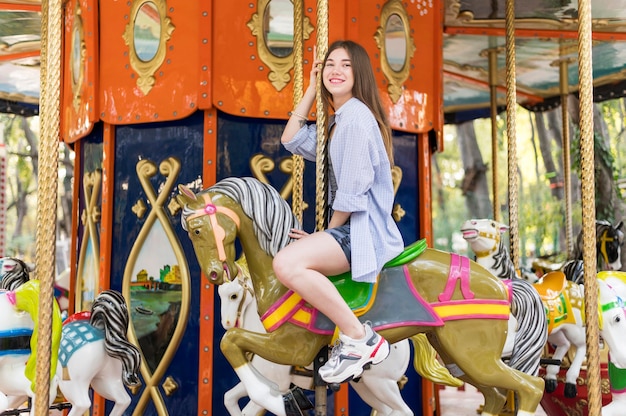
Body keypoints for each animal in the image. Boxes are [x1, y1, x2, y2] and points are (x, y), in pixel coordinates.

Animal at [217, 272, 416, 416]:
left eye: (234, 296)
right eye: (220, 295)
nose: (226, 323)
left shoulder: (278, 384)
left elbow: (249, 409)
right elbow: (228, 397)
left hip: (382, 382)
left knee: (403, 411)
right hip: (364, 385)